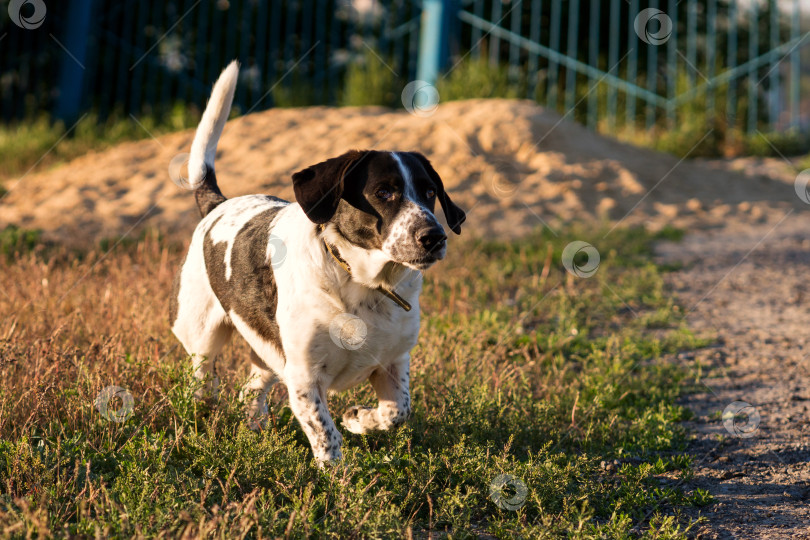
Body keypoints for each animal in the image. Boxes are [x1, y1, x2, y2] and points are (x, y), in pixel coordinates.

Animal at [167, 61, 464, 462]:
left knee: (250, 391)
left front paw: (358, 419)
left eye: (430, 192)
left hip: (266, 352)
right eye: (383, 192)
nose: (434, 237)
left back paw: (254, 431)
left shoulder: (393, 362)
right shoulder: (305, 377)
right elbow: (326, 434)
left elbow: (397, 411)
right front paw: (337, 474)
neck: (363, 285)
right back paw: (202, 420)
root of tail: (217, 203)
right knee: (202, 382)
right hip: (203, 337)